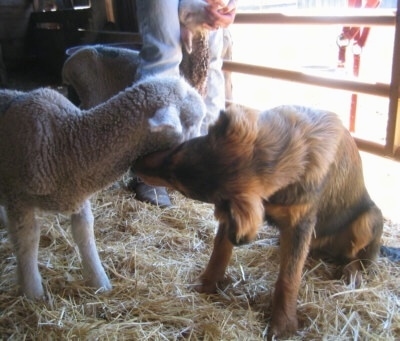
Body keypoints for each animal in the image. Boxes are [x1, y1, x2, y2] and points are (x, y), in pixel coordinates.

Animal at [0, 75, 206, 298]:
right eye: (191, 121)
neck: (65, 142)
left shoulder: (79, 195)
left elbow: (85, 235)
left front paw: (100, 282)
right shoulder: (17, 198)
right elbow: (28, 241)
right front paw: (33, 292)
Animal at [133, 104, 382, 338]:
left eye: (181, 187)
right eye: (177, 151)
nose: (135, 164)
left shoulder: (300, 224)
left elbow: (288, 278)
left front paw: (283, 323)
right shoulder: (231, 215)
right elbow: (219, 251)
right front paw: (206, 283)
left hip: (368, 220)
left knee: (362, 258)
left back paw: (352, 273)